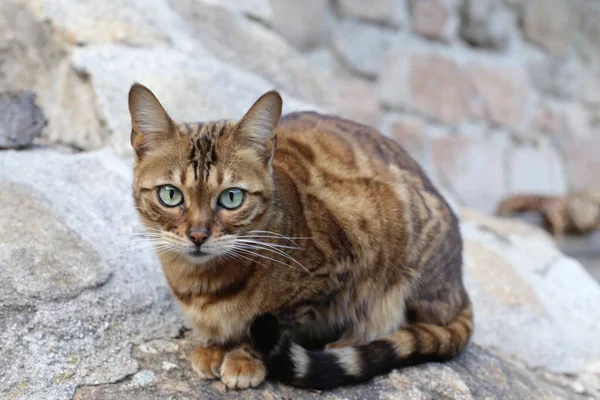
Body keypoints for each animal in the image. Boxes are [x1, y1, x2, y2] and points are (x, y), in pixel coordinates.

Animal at [129, 83, 472, 390]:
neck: (201, 284)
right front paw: (215, 347)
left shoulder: (329, 276)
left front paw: (244, 359)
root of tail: (459, 286)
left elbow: (274, 323)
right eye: (170, 195)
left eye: (231, 198)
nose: (198, 235)